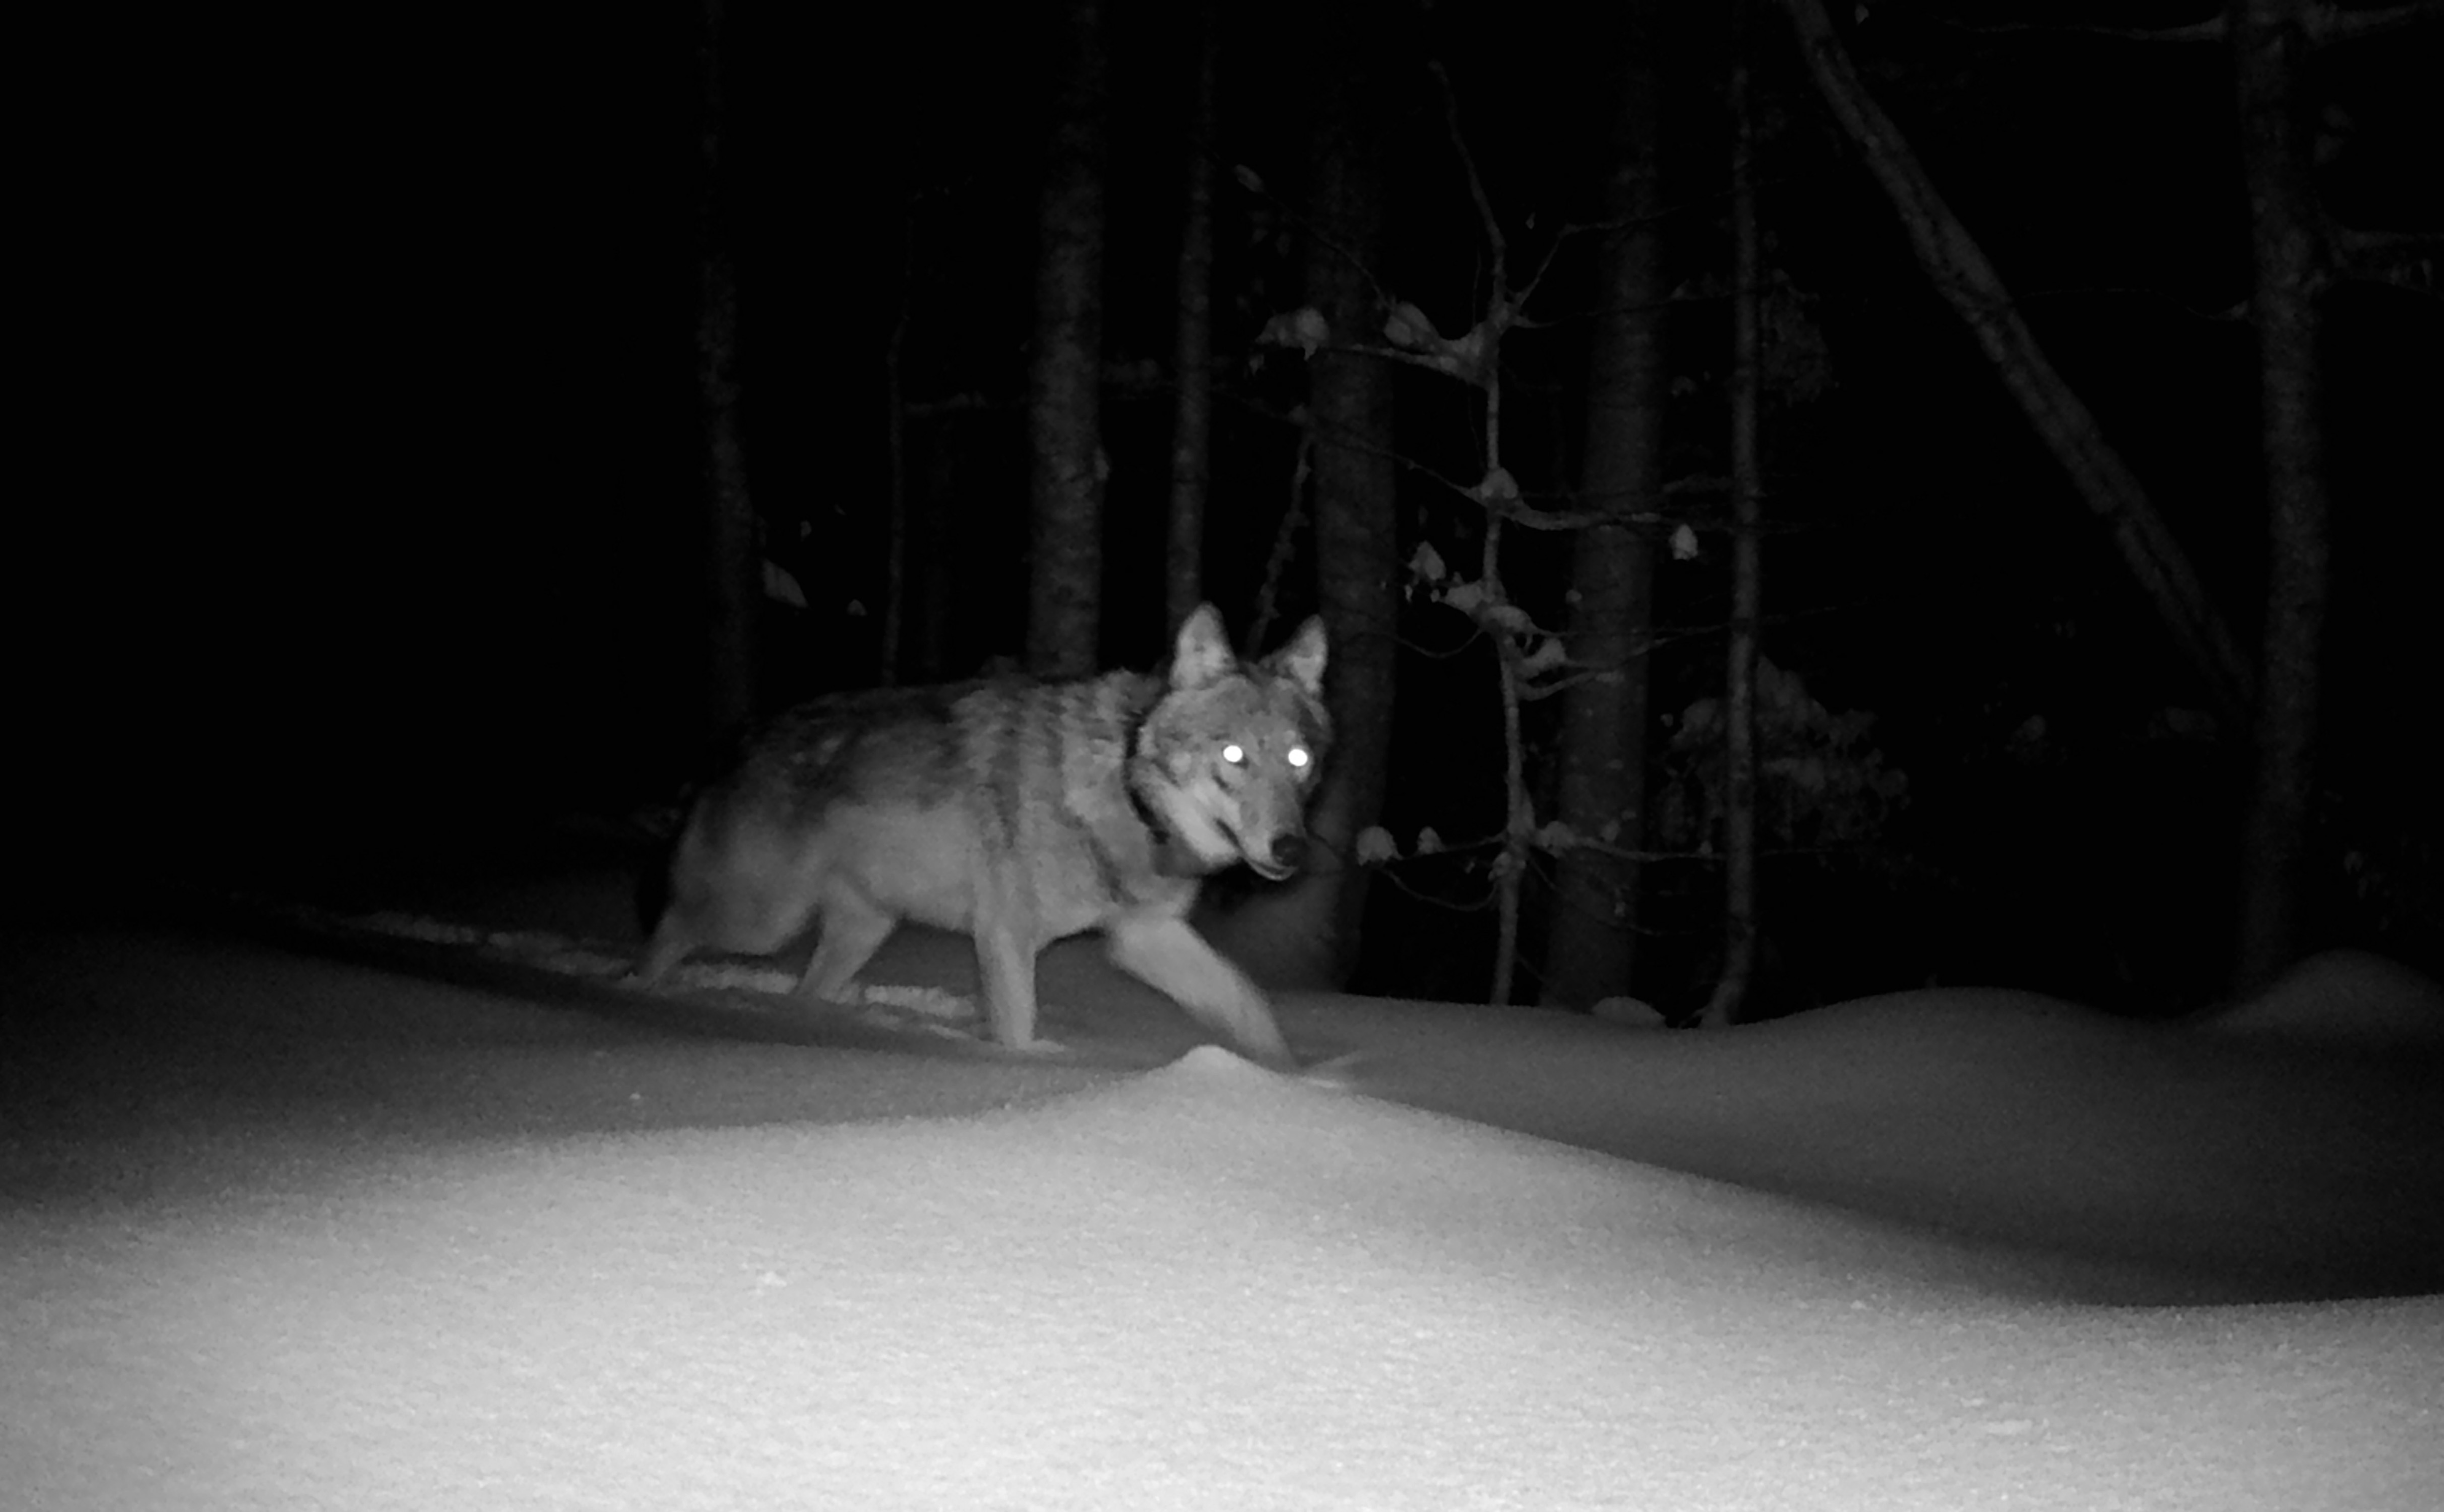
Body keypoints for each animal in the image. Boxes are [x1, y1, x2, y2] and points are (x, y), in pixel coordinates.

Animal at [620, 603, 1329, 1065]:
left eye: (1299, 760)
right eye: (1234, 756)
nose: (1291, 849)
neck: (1123, 788)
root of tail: (740, 740)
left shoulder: (1144, 937)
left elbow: (1248, 1003)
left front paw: (1298, 1081)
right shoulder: (1007, 936)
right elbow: (1018, 1032)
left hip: (860, 929)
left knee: (803, 988)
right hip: (763, 921)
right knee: (670, 928)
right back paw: (634, 994)